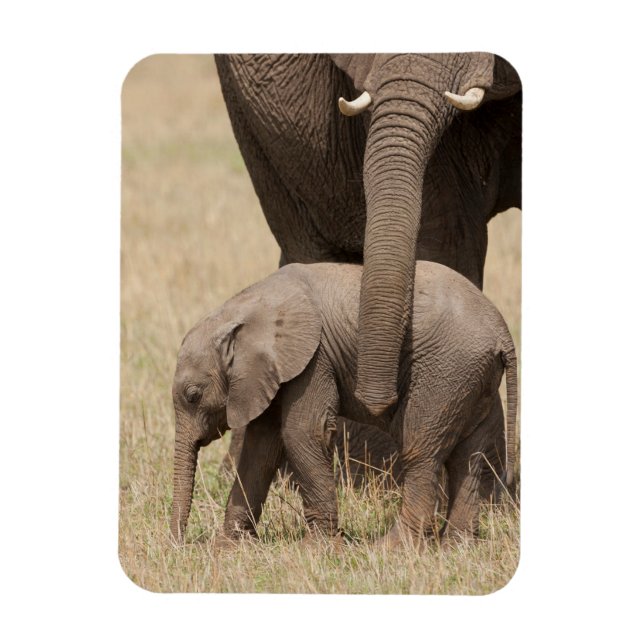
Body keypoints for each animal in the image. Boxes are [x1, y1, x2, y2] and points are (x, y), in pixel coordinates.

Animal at [170, 261, 517, 546]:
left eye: (193, 395)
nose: (182, 545)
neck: (242, 309)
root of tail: (502, 333)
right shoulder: (270, 373)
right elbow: (261, 447)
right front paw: (229, 547)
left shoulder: (313, 359)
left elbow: (303, 433)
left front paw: (316, 549)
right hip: (474, 380)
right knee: (470, 457)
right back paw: (455, 547)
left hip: (446, 374)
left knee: (421, 451)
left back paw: (392, 549)